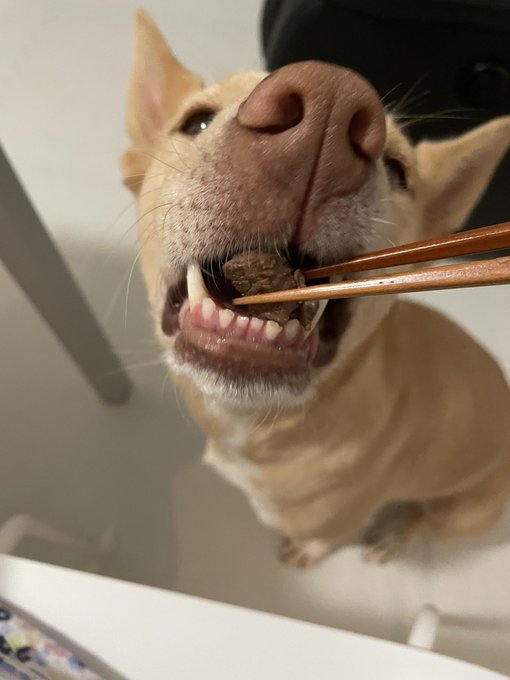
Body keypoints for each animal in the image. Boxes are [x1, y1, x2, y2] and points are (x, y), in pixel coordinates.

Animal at [121, 10, 510, 566]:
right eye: (196, 121)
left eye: (399, 171)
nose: (330, 101)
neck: (258, 424)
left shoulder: (338, 521)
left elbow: (322, 540)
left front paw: (304, 553)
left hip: (463, 513)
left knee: (424, 517)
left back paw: (391, 538)